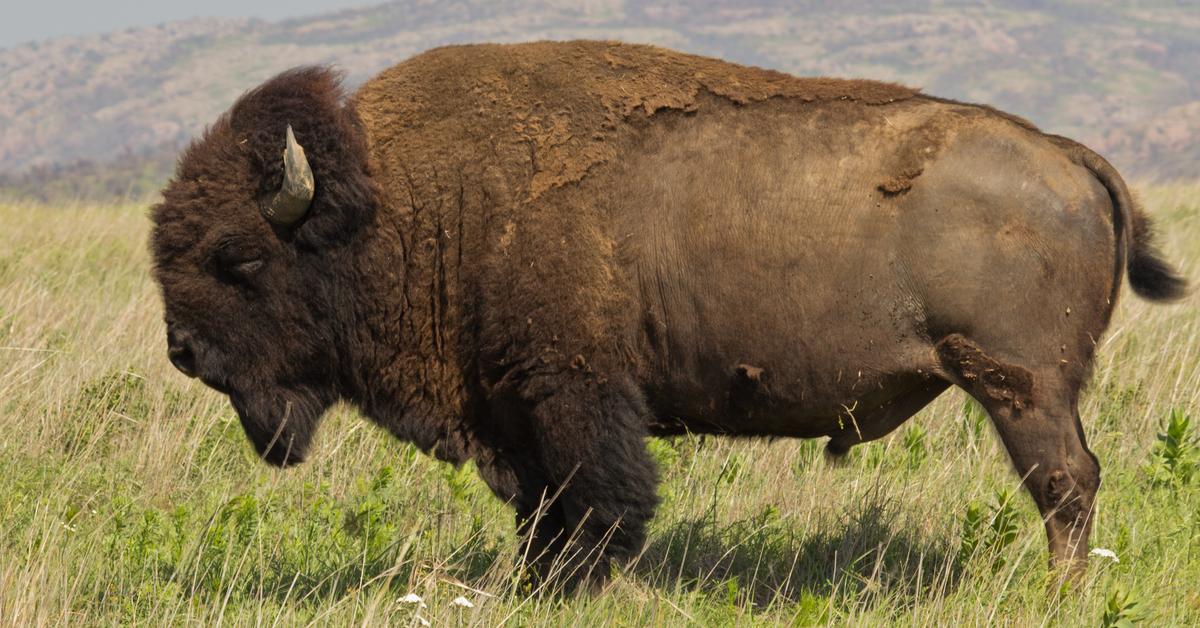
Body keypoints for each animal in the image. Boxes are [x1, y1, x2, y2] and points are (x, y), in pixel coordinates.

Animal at [150, 40, 1180, 590]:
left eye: (237, 257)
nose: (183, 351)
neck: (405, 199)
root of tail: (1065, 154)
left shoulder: (574, 395)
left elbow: (601, 504)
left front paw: (577, 587)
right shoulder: (513, 414)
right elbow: (539, 512)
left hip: (1021, 388)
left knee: (1066, 483)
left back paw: (1060, 591)